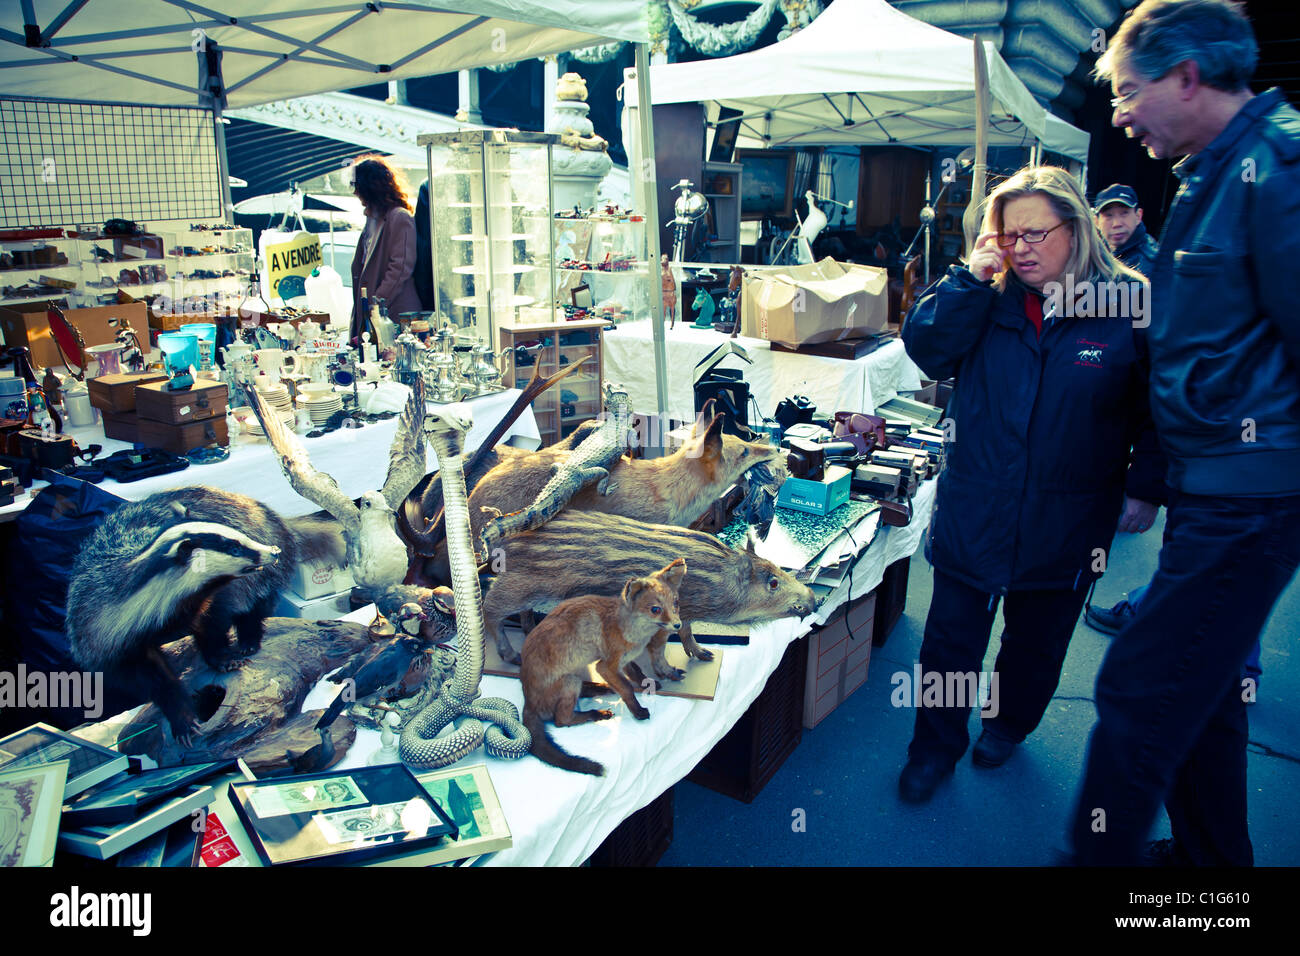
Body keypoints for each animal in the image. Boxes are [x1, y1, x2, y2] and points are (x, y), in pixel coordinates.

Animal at [517, 556, 686, 775]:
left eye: (675, 603)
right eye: (655, 609)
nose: (678, 625)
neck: (631, 632)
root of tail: (527, 699)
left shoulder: (623, 660)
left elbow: (636, 672)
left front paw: (649, 683)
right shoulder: (605, 666)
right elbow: (627, 688)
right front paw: (638, 711)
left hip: (575, 676)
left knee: (582, 695)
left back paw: (599, 688)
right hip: (570, 681)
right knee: (561, 720)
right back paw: (595, 713)